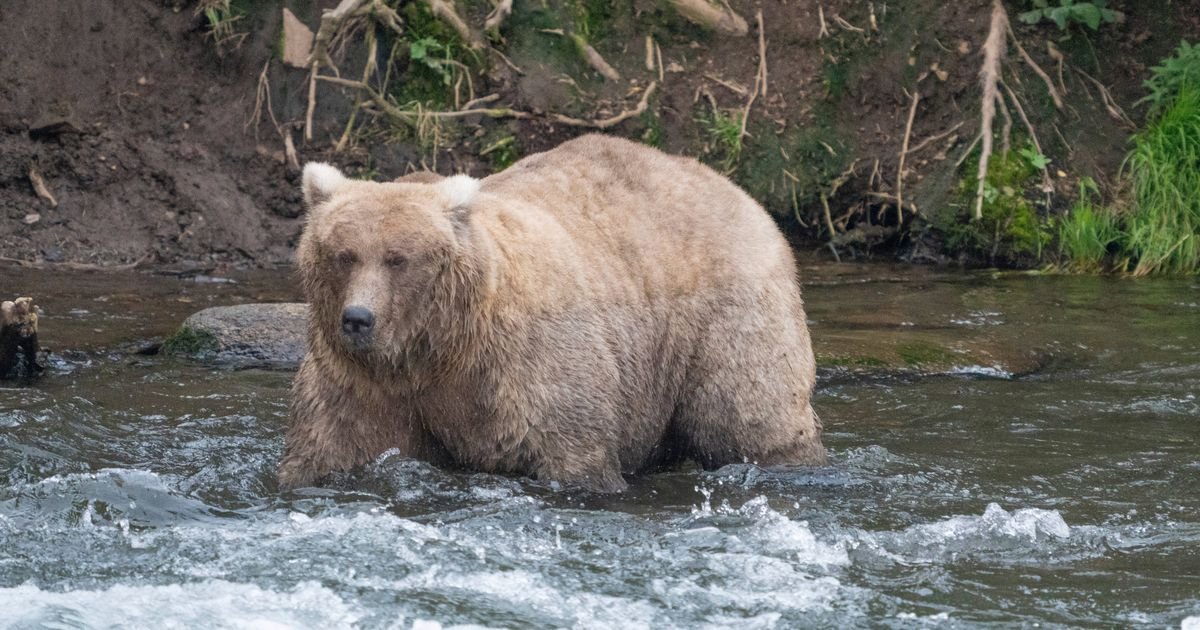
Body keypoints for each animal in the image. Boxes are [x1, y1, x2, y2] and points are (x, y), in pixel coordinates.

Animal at [279, 132, 825, 492]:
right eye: (343, 254)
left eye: (398, 258)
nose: (358, 318)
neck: (437, 347)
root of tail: (735, 189)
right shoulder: (363, 382)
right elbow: (333, 445)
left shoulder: (526, 366)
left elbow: (571, 450)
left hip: (724, 316)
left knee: (749, 414)